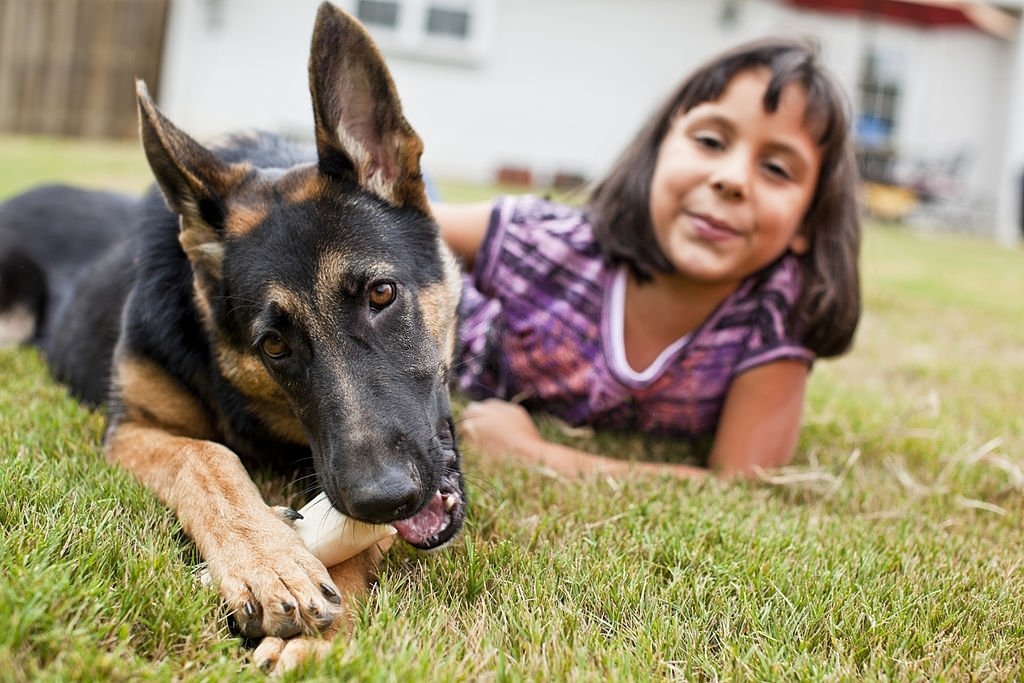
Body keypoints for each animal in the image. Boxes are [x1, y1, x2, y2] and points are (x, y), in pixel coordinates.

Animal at [0, 1, 464, 671]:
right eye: (273, 346)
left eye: (382, 294)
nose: (383, 500)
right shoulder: (134, 428)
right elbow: (207, 457)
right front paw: (269, 562)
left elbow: (363, 543)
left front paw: (319, 628)